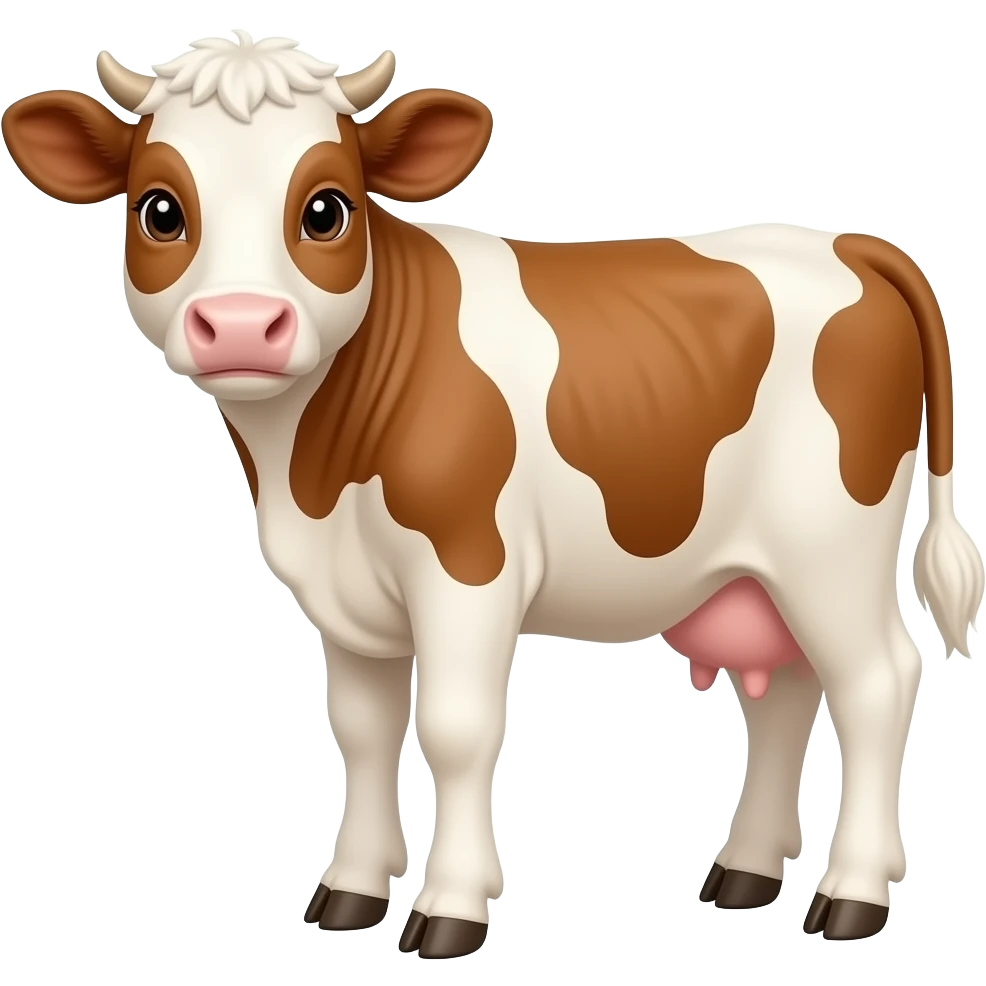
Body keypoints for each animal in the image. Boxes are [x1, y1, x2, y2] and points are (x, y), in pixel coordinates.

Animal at [3, 32, 981, 958]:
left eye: (326, 210)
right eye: (159, 210)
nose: (242, 325)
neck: (309, 477)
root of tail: (845, 240)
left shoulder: (467, 566)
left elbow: (455, 727)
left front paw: (448, 910)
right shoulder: (348, 597)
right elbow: (361, 731)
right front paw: (350, 892)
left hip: (832, 550)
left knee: (876, 683)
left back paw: (852, 895)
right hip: (759, 571)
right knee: (787, 691)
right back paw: (743, 874)